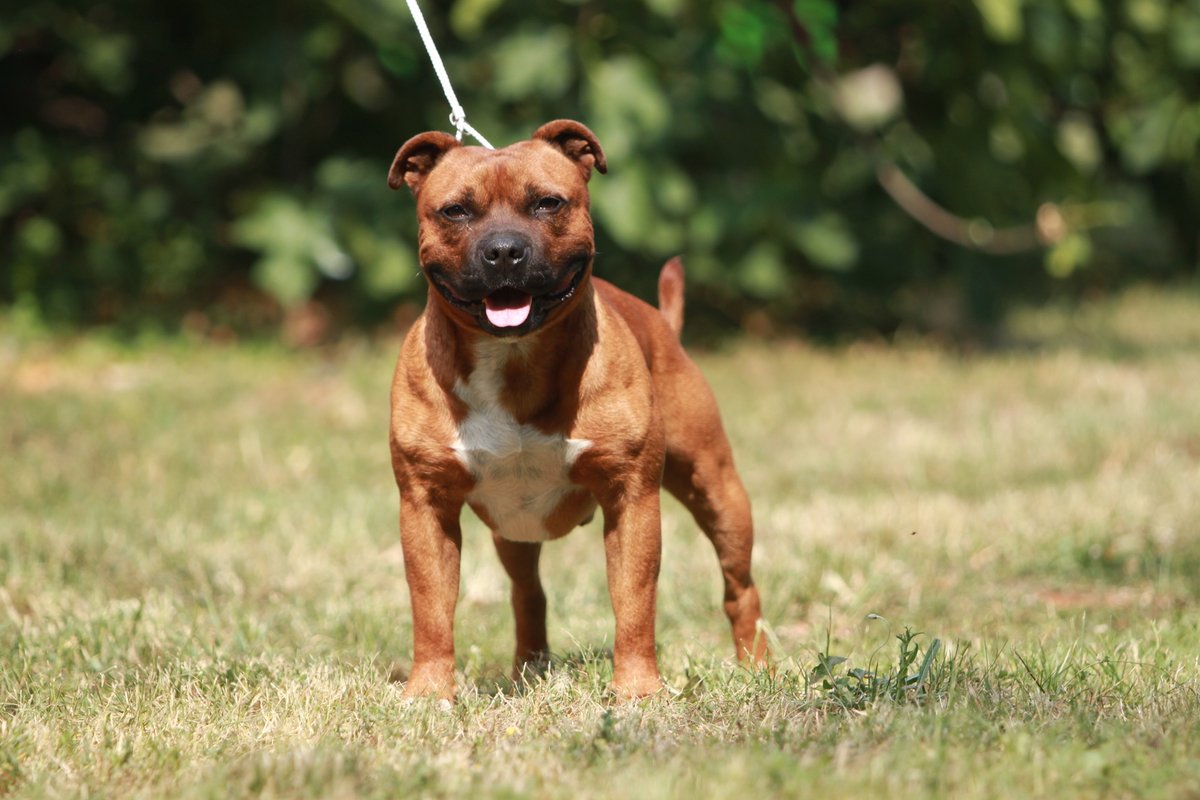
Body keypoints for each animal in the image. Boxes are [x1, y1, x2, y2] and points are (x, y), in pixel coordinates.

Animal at [391, 118, 768, 700]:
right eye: (455, 211)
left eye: (548, 203)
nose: (504, 251)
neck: (513, 357)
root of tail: (664, 324)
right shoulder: (425, 506)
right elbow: (431, 609)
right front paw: (429, 693)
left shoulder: (632, 500)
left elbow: (634, 602)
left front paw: (637, 690)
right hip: (513, 529)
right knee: (528, 592)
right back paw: (528, 668)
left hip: (718, 489)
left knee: (739, 586)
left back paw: (756, 667)